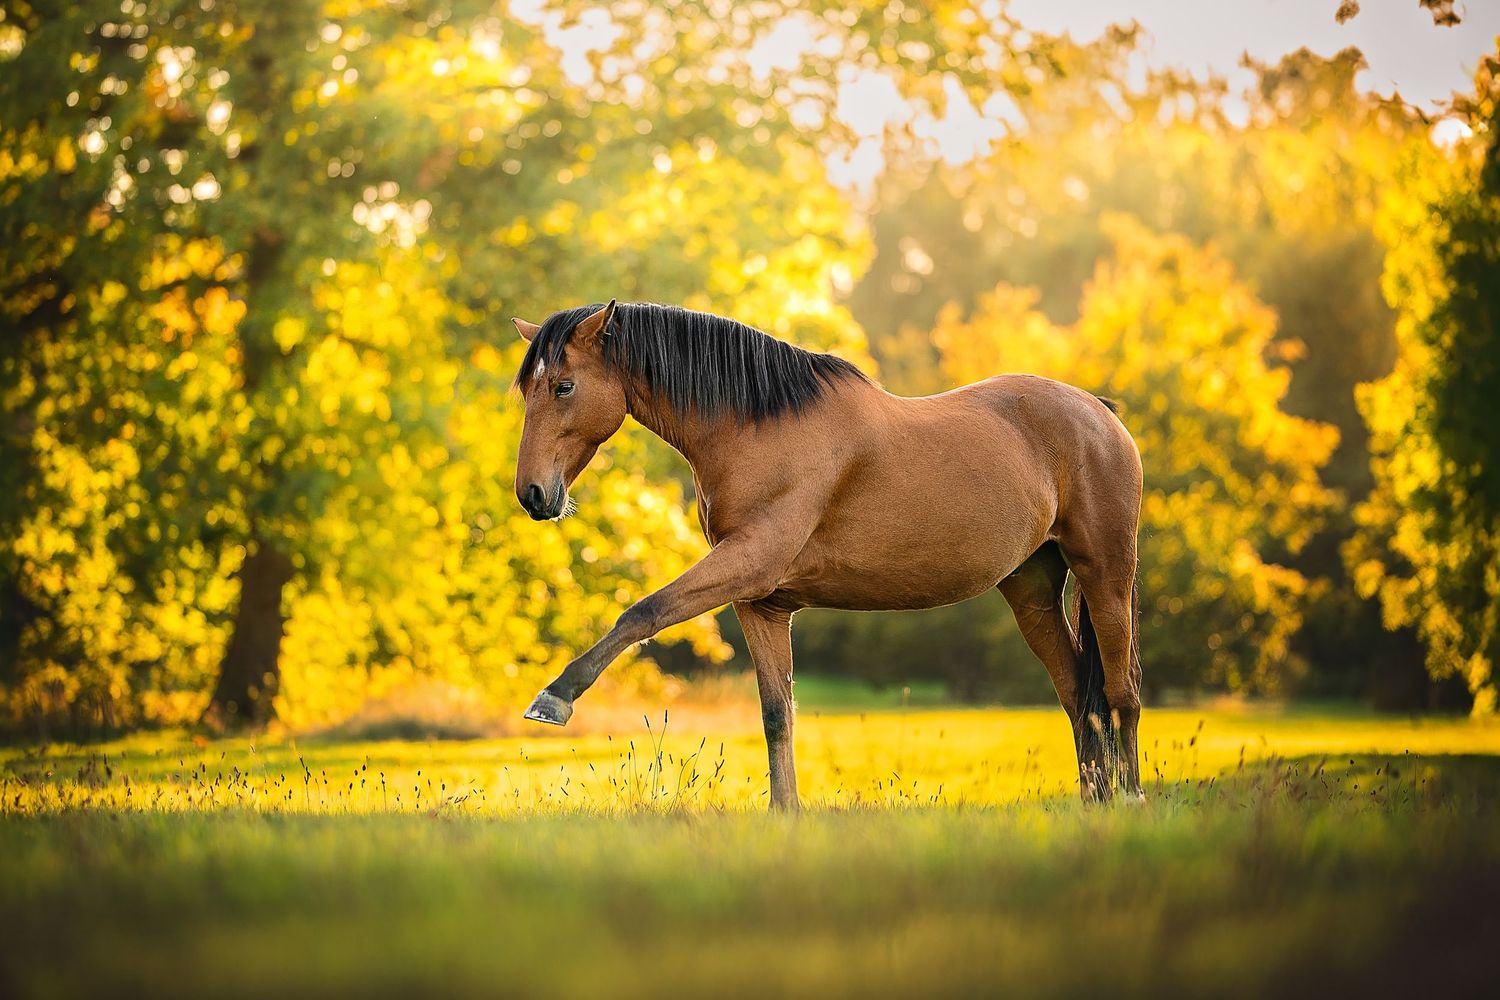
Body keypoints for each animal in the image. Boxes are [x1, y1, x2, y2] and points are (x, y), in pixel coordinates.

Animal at [510, 299, 1144, 808]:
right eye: (527, 390)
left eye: (563, 386)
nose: (532, 495)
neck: (758, 431)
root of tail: (1099, 412)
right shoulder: (759, 601)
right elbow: (776, 715)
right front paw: (784, 813)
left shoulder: (748, 563)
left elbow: (642, 612)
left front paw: (554, 697)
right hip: (1032, 590)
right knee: (1078, 696)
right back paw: (1094, 802)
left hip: (1107, 575)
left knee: (1120, 692)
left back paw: (1131, 799)